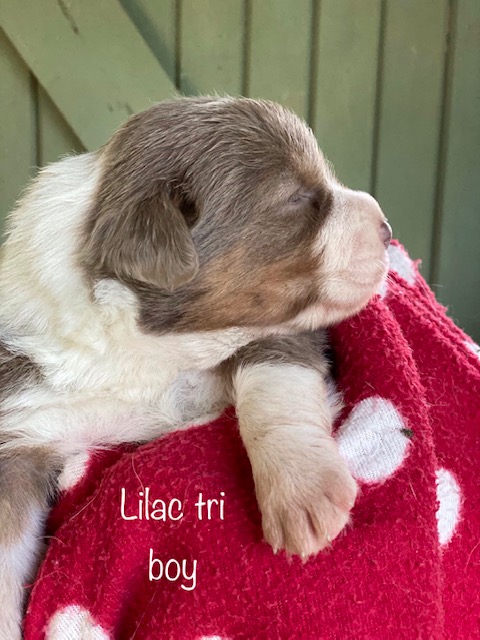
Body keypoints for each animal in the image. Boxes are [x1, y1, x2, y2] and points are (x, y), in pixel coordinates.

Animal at [0, 96, 391, 638]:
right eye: (296, 198)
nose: (388, 228)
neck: (153, 350)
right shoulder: (25, 421)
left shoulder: (284, 324)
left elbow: (272, 386)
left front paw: (301, 495)